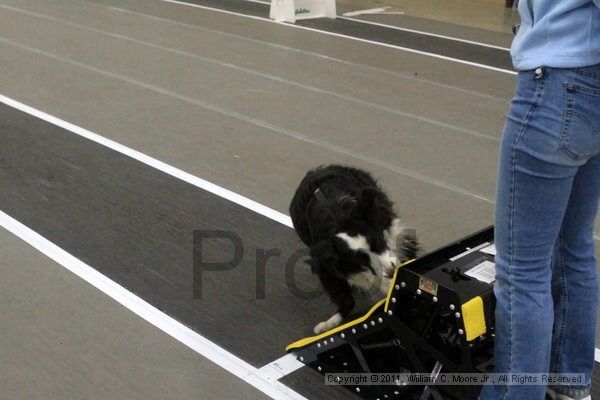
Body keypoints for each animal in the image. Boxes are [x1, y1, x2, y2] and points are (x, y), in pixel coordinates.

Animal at [290, 165, 418, 334]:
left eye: (377, 241)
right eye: (362, 260)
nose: (392, 271)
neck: (338, 220)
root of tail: (315, 171)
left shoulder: (387, 227)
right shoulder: (328, 262)